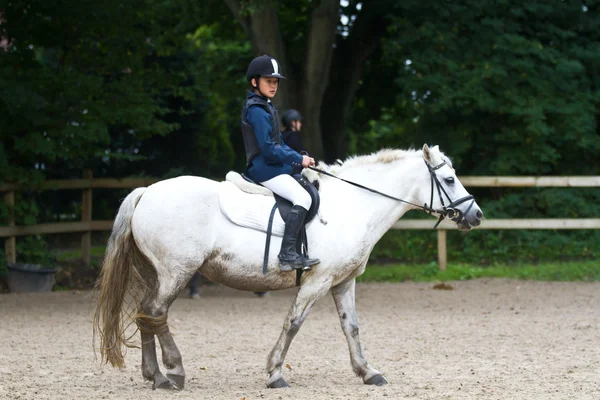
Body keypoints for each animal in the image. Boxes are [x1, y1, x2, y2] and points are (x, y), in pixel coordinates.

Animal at [92, 145, 482, 390]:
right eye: (449, 180)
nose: (476, 215)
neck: (354, 204)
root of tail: (146, 191)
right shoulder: (318, 280)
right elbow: (293, 324)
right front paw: (275, 374)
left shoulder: (343, 282)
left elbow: (352, 328)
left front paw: (368, 372)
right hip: (177, 272)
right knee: (155, 313)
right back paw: (172, 372)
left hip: (157, 274)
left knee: (146, 315)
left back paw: (155, 376)